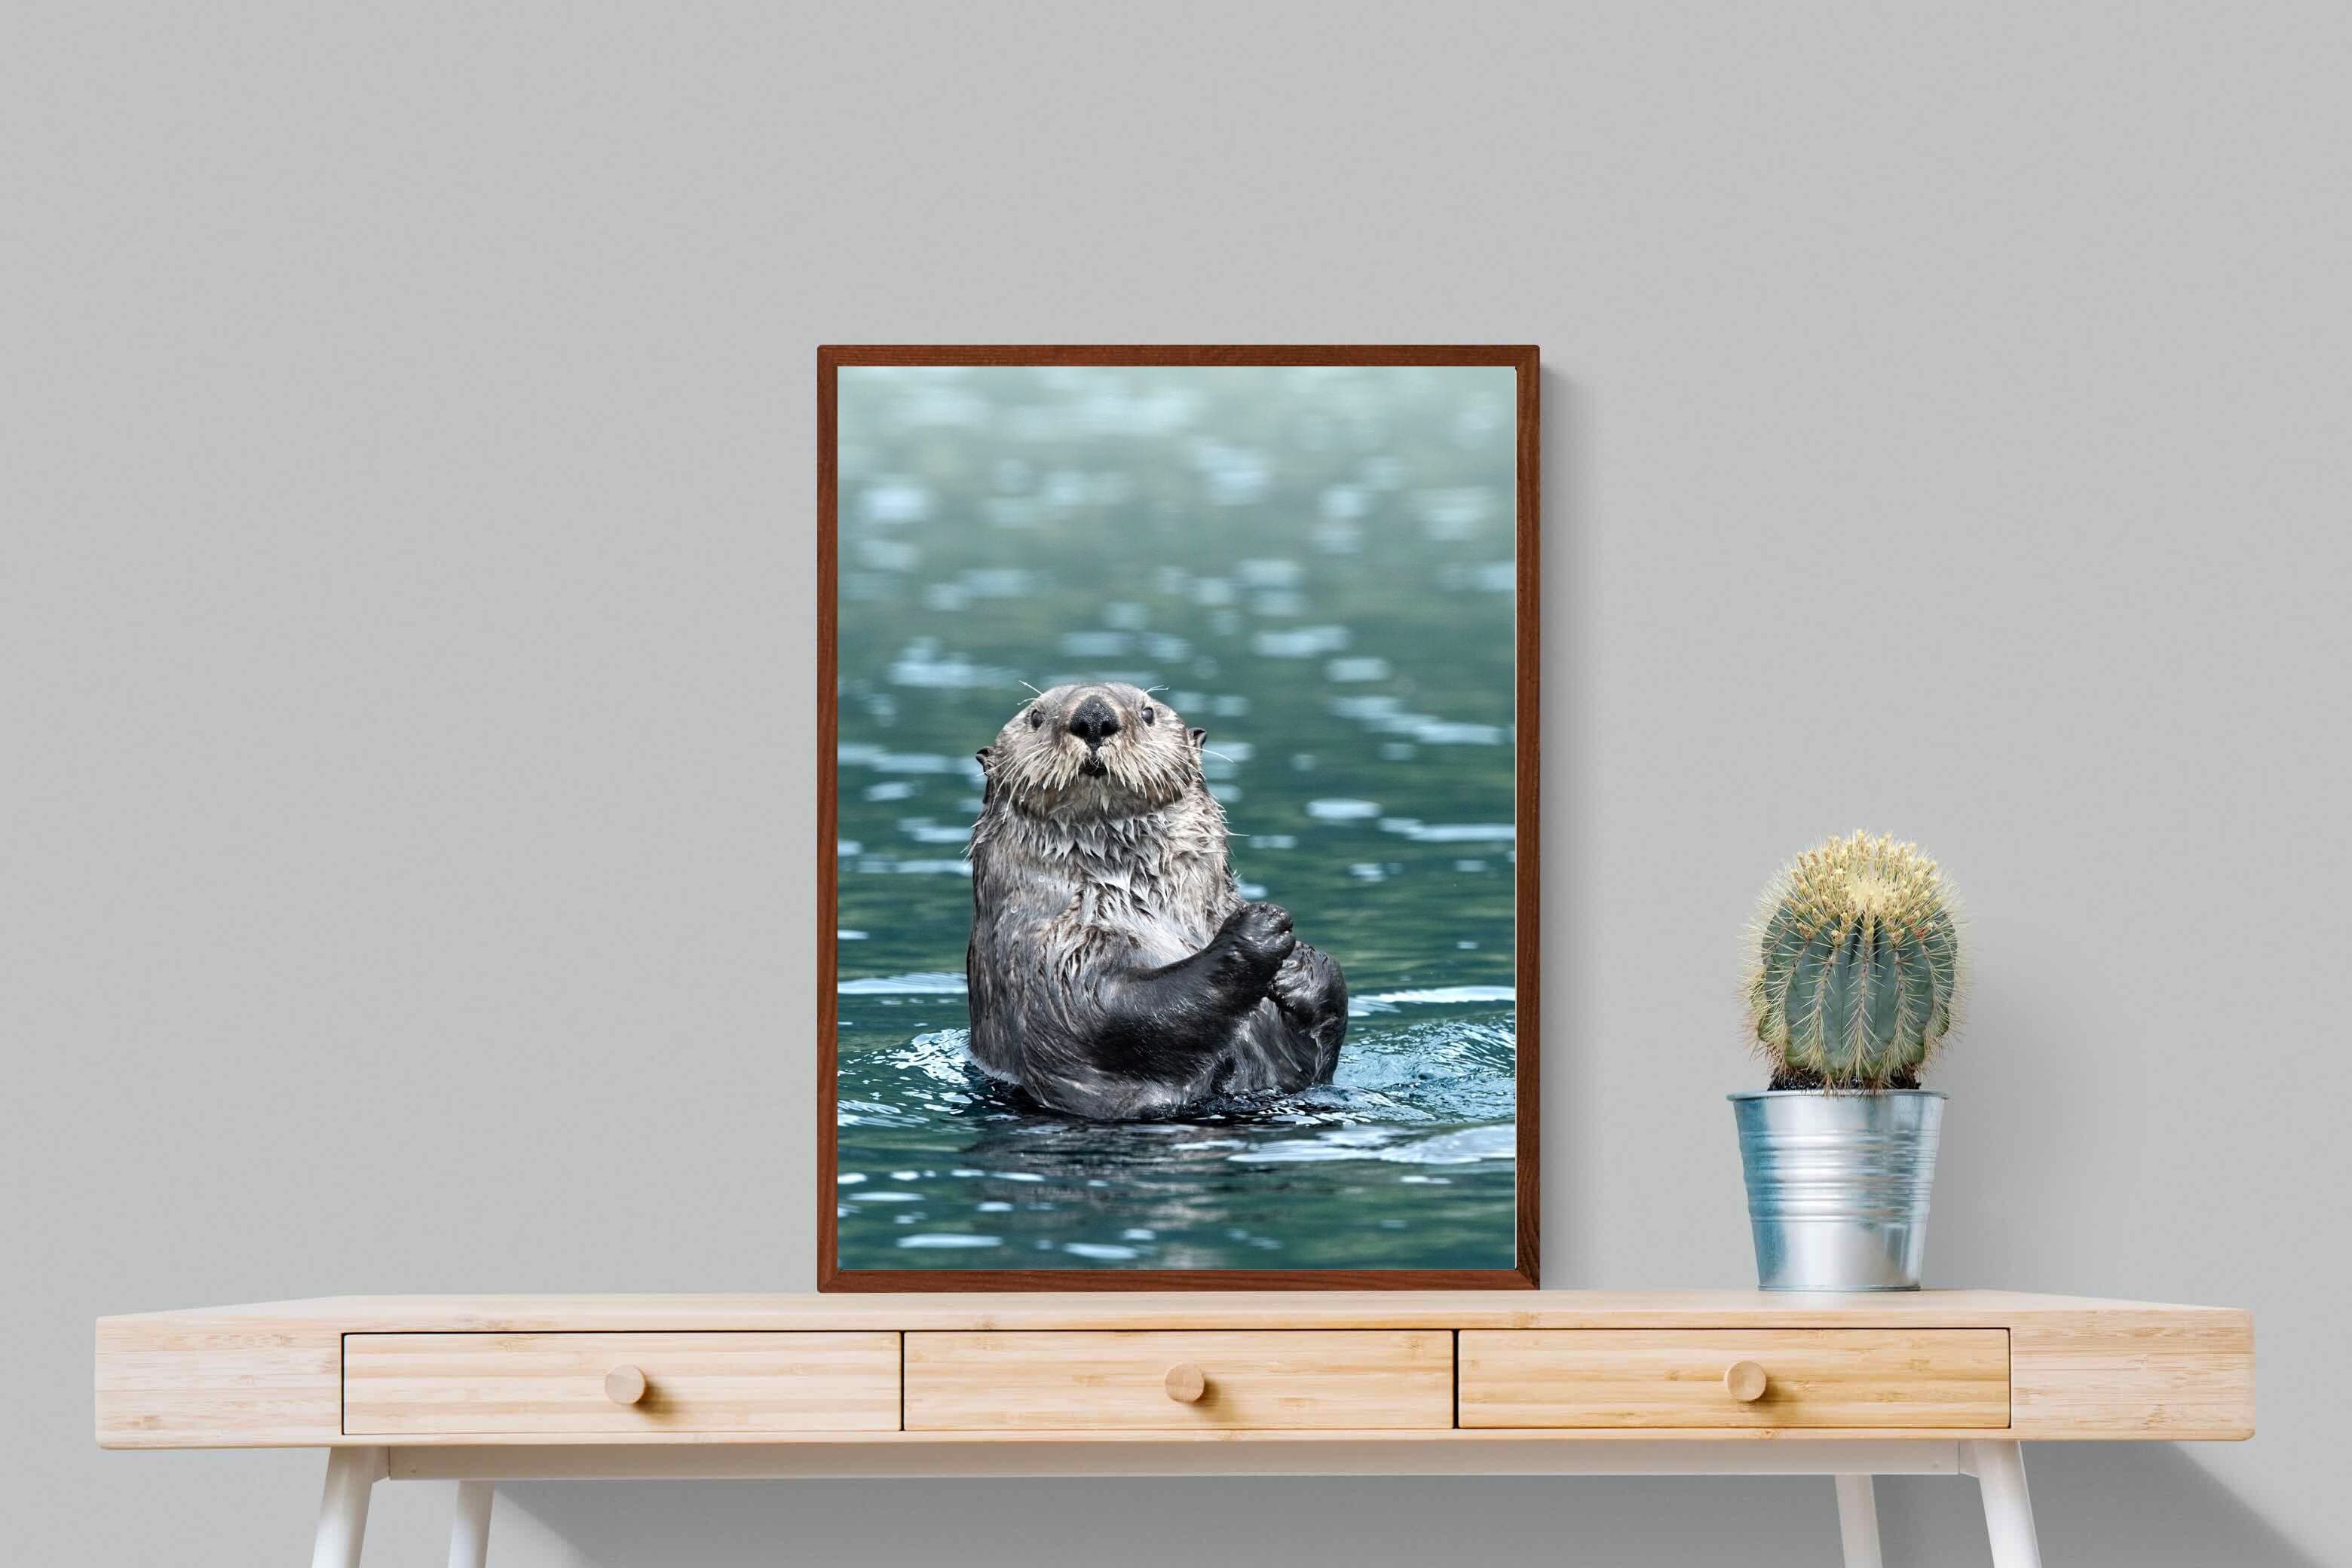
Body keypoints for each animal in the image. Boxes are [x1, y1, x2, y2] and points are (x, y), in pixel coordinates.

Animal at [965, 681, 1349, 1120]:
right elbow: (1114, 1011)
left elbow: (1313, 1059)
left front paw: (1299, 965)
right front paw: (1258, 929)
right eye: (1035, 717)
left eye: (1147, 713)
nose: (1094, 716)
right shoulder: (1048, 957)